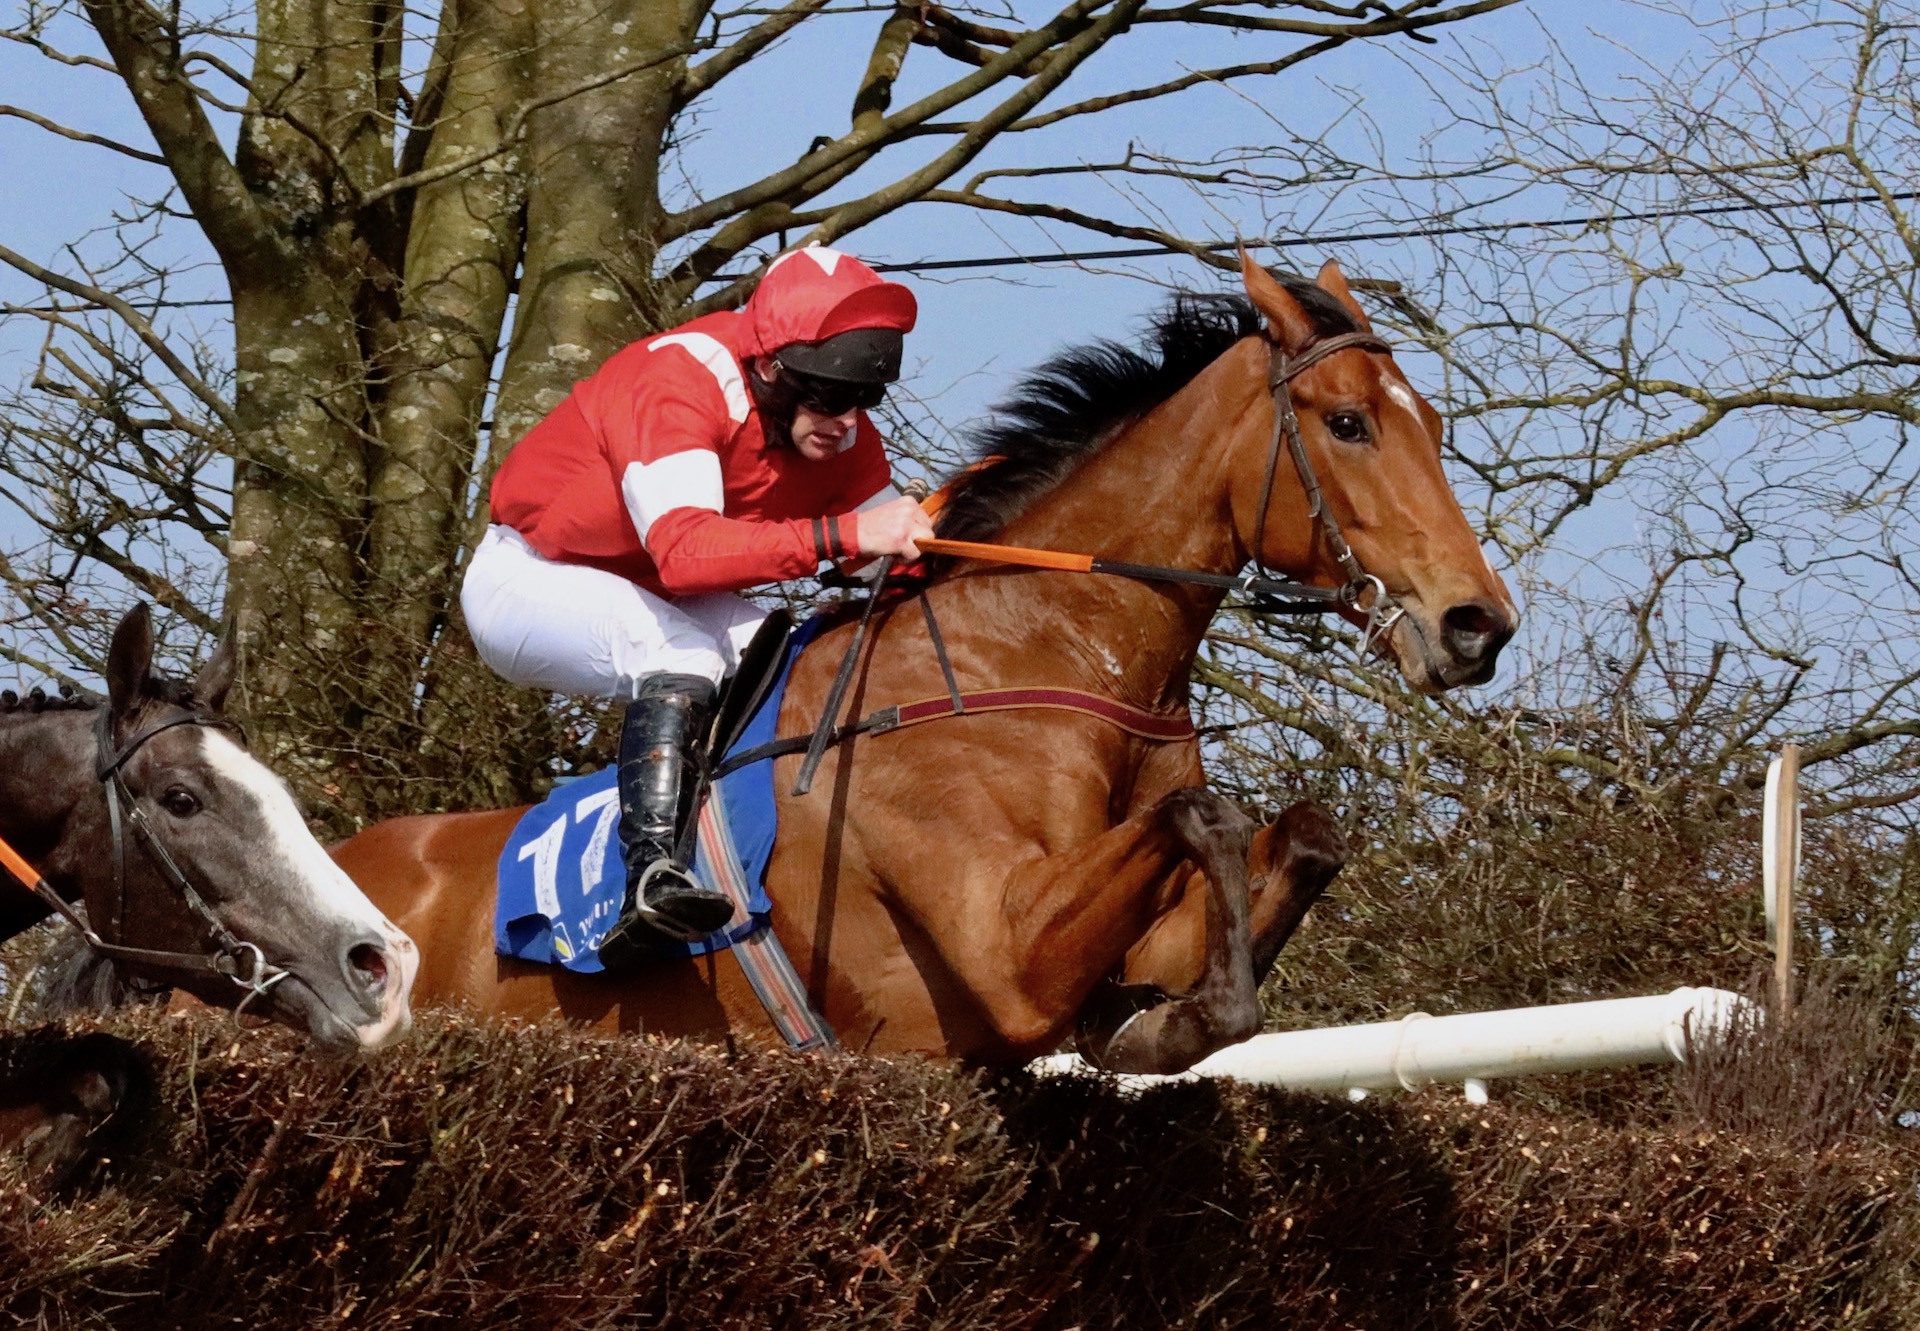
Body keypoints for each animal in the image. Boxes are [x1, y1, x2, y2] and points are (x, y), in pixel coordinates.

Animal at [334, 257, 1512, 1067]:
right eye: (1350, 422)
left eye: (1432, 422)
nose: (1478, 625)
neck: (1041, 656)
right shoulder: (1000, 948)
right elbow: (1204, 816)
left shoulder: (1133, 936)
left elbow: (1302, 836)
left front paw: (1167, 1022)